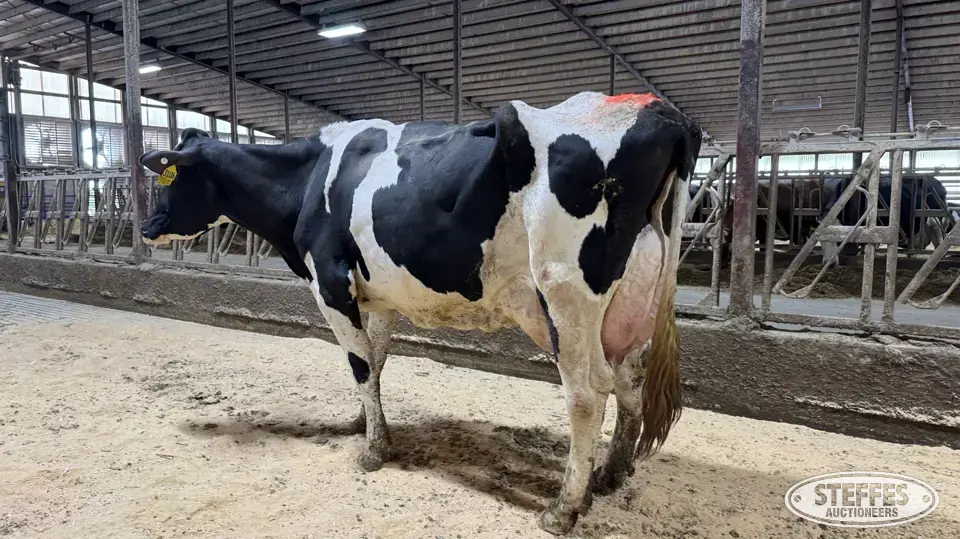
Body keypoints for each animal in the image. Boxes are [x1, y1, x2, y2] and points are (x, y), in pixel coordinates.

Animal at [137, 91, 702, 535]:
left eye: (170, 180)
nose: (146, 227)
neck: (310, 177)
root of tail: (662, 112)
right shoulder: (377, 294)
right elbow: (375, 362)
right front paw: (362, 423)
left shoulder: (330, 282)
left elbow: (359, 364)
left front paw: (373, 451)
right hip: (630, 301)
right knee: (629, 381)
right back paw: (611, 475)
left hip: (565, 291)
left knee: (587, 394)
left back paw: (563, 509)